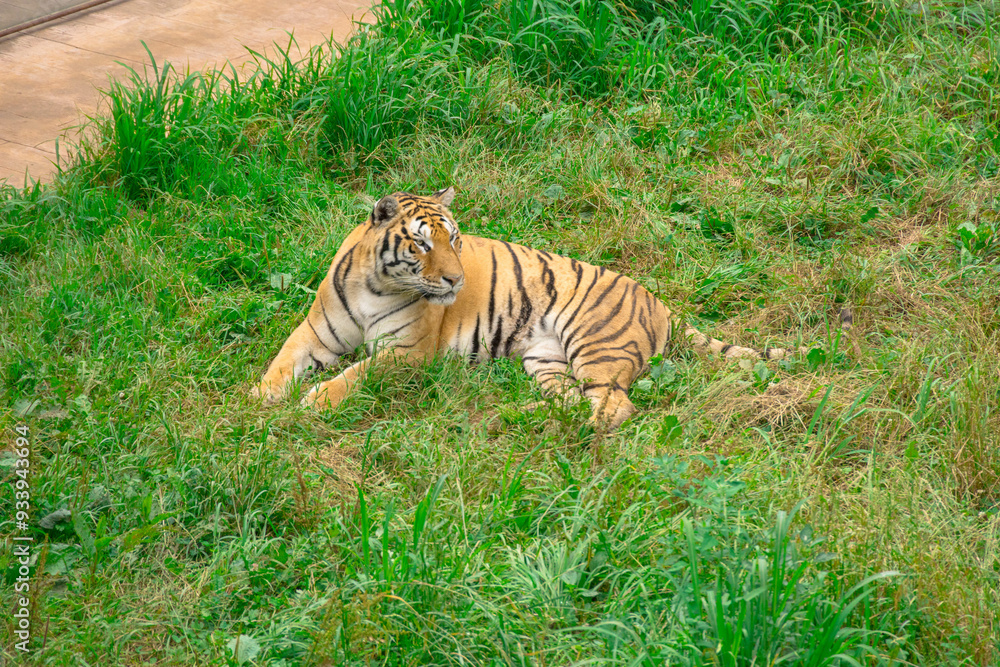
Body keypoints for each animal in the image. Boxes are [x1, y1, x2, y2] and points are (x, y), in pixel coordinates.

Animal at [252, 187, 829, 429]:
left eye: (454, 239)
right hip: (545, 358)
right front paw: (259, 398)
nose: (457, 280)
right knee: (575, 400)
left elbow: (355, 375)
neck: (377, 284)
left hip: (594, 343)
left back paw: (509, 420)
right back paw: (517, 415)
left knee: (613, 407)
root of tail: (659, 301)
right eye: (420, 243)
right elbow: (281, 362)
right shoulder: (316, 333)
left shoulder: (407, 352)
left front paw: (314, 402)